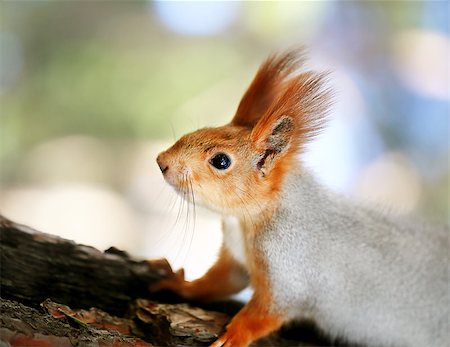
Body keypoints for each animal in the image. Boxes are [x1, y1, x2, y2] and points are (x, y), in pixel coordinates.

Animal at [152, 49, 450, 347]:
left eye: (221, 161)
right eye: (200, 130)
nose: (161, 161)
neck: (246, 220)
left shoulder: (290, 266)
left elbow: (268, 311)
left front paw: (234, 335)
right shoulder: (236, 261)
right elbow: (219, 281)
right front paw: (181, 284)